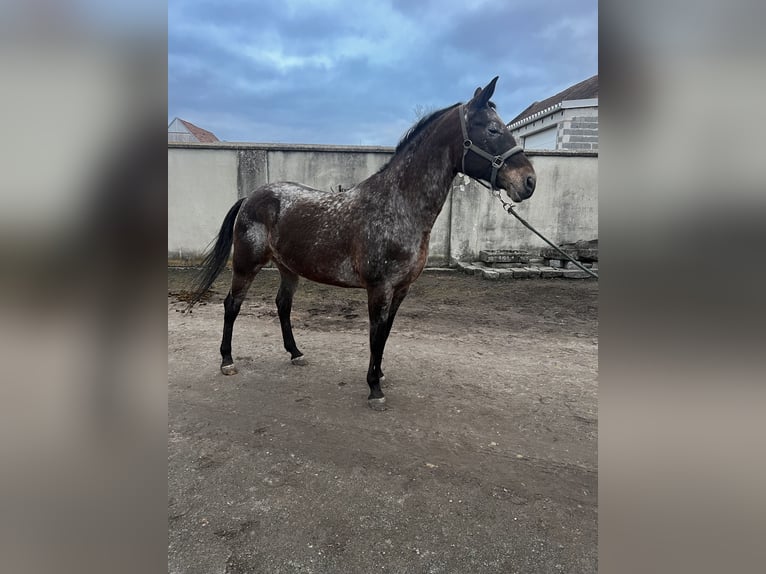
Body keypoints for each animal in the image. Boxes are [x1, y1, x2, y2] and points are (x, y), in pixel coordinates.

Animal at [188, 77, 536, 410]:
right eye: (492, 129)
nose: (529, 181)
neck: (397, 205)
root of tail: (251, 197)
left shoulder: (400, 289)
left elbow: (385, 334)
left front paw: (378, 375)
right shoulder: (379, 288)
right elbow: (375, 335)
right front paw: (374, 390)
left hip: (289, 269)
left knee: (282, 305)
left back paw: (296, 353)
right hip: (246, 265)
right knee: (232, 305)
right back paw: (227, 360)